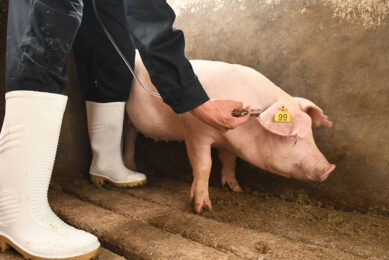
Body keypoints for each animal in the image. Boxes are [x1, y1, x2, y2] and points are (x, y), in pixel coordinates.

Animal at [123, 54, 334, 213]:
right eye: (291, 136)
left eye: (311, 134)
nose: (329, 168)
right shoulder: (195, 133)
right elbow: (203, 166)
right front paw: (202, 208)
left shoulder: (229, 143)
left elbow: (229, 161)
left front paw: (236, 189)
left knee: (131, 135)